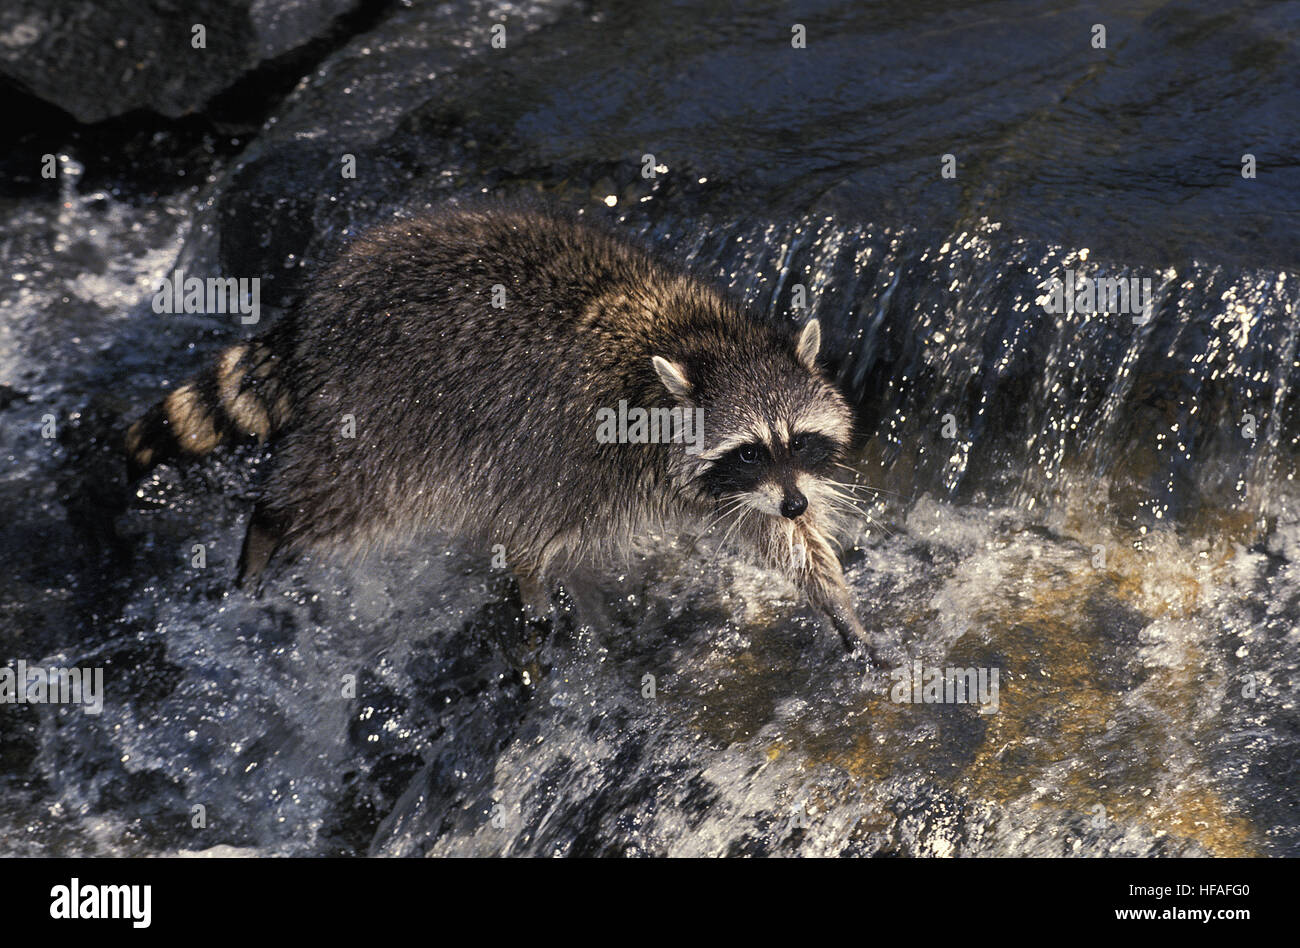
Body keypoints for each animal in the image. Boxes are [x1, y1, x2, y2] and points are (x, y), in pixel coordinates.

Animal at [126, 202, 868, 650]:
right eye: (748, 451)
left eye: (800, 441)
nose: (797, 501)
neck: (703, 345)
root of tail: (309, 310)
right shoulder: (572, 445)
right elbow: (528, 528)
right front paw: (534, 589)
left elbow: (774, 536)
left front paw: (833, 597)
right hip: (381, 412)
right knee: (348, 492)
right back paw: (268, 524)